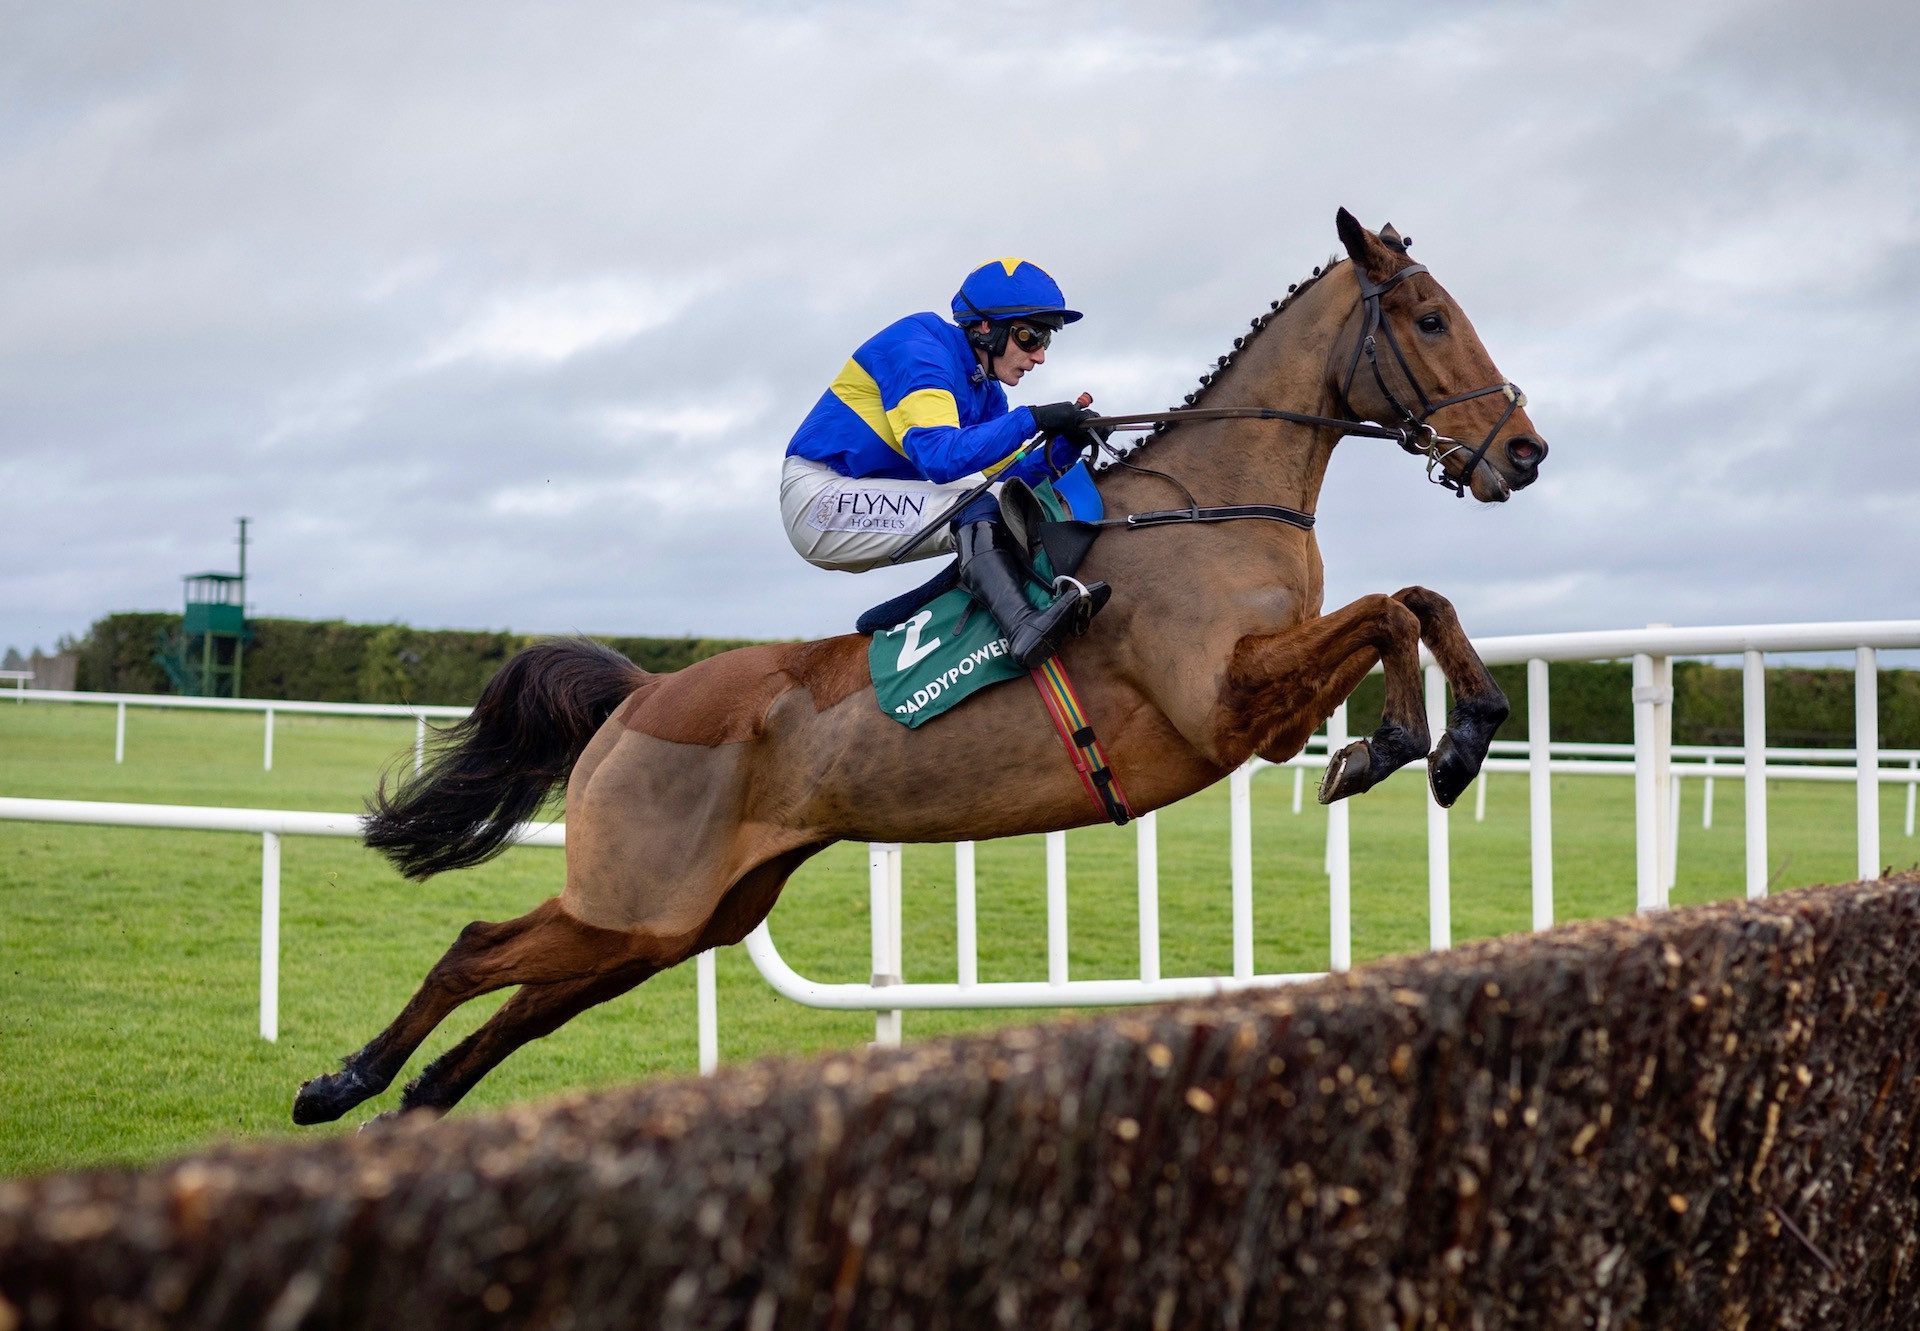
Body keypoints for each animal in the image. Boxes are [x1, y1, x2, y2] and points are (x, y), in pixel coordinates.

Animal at [303, 207, 1559, 1121]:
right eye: (1433, 319)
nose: (1525, 451)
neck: (1213, 507)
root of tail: (646, 690)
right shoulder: (1225, 705)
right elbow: (1386, 614)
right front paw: (1397, 743)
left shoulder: (1265, 706)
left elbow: (1417, 600)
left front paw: (1467, 728)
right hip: (640, 894)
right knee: (476, 951)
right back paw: (343, 1080)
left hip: (677, 917)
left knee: (531, 999)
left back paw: (420, 1095)